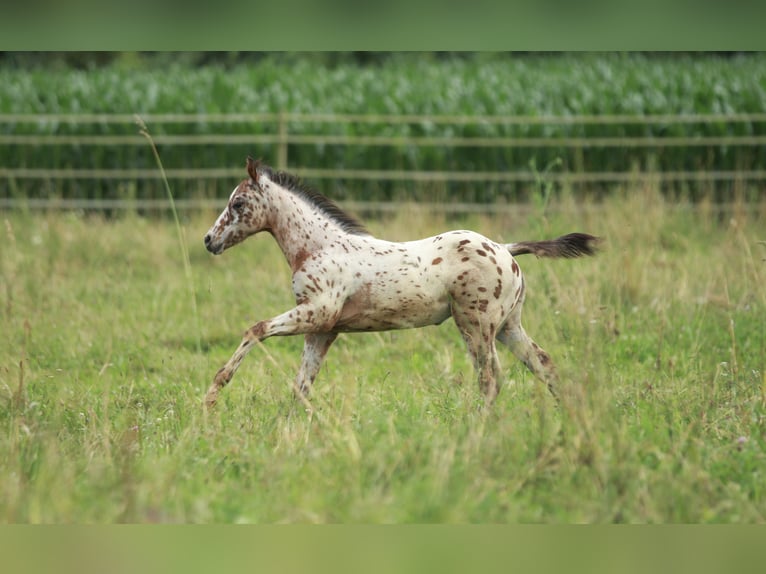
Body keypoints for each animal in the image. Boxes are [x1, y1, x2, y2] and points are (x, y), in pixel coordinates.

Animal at [204, 158, 600, 410]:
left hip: (476, 324)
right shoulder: (323, 329)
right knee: (543, 364)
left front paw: (213, 391)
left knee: (491, 379)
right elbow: (301, 386)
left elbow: (256, 329)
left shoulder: (316, 312)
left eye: (238, 203)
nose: (209, 240)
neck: (319, 246)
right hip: (507, 325)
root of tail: (505, 248)